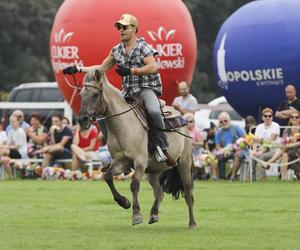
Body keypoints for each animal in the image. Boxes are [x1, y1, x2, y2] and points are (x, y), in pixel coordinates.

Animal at [78, 69, 197, 229]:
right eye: (81, 95)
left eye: (96, 94)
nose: (82, 120)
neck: (123, 125)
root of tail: (182, 119)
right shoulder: (120, 162)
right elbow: (108, 176)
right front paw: (124, 202)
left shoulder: (140, 162)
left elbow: (134, 185)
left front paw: (136, 215)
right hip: (152, 170)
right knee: (159, 192)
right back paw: (154, 214)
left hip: (184, 163)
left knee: (188, 193)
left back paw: (192, 223)